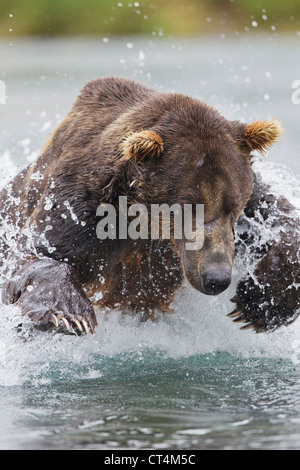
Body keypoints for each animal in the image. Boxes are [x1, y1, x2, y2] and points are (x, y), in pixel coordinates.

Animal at [0, 78, 298, 334]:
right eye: (187, 206)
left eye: (233, 205)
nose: (217, 277)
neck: (143, 218)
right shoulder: (81, 204)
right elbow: (39, 252)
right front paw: (70, 314)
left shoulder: (250, 206)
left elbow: (280, 219)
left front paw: (258, 302)